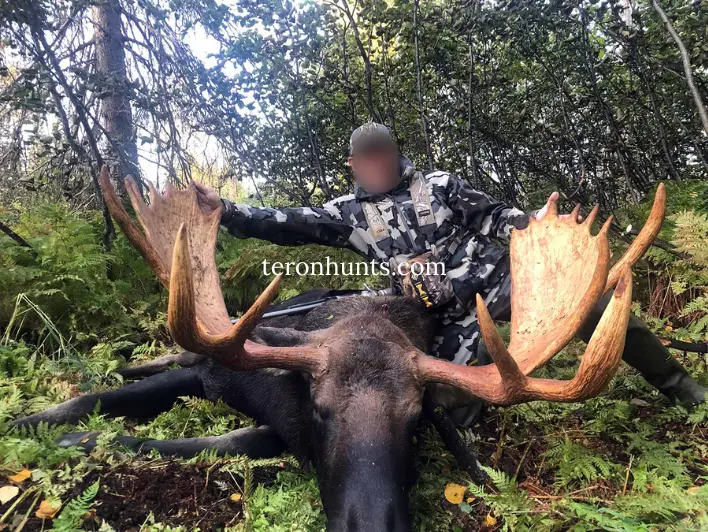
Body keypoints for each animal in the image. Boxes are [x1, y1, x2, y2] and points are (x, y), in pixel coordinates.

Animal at [14, 167, 665, 531]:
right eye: (320, 408)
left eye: (415, 420)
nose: (370, 524)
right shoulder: (214, 367)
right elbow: (87, 403)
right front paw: (44, 429)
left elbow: (228, 441)